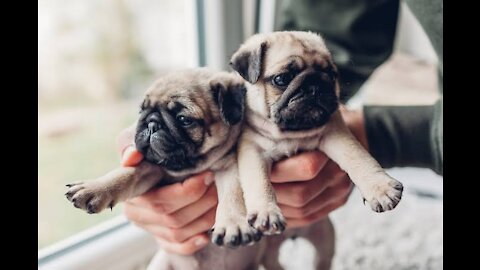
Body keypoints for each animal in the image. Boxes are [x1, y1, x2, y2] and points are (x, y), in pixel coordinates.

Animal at [230, 31, 404, 268]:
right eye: (281, 79)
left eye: (331, 75)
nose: (315, 85)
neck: (290, 134)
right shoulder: (252, 150)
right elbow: (259, 181)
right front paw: (267, 212)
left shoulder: (335, 132)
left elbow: (357, 157)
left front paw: (380, 188)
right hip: (269, 252)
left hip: (325, 240)